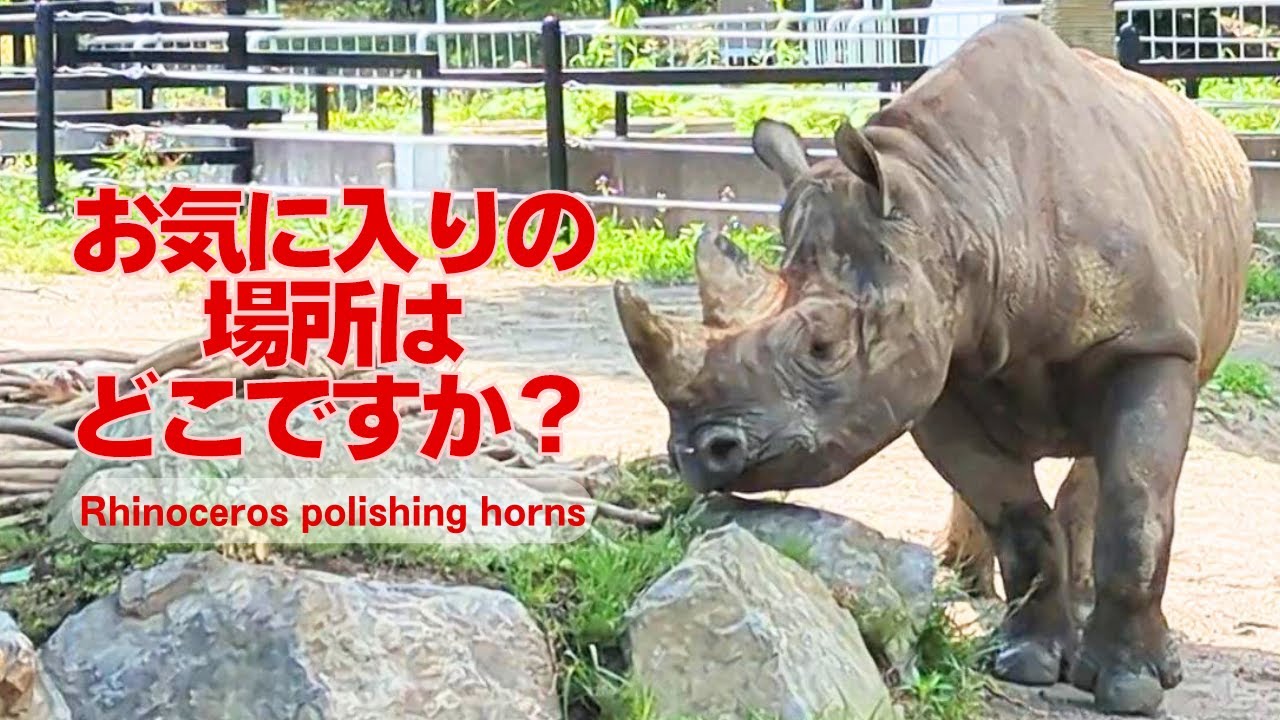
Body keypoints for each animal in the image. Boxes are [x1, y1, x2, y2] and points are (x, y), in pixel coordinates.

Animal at [613, 16, 1255, 717]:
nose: (697, 454)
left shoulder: (1151, 342)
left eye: (823, 347)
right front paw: (1025, 663)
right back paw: (968, 582)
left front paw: (1131, 686)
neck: (954, 206)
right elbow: (1016, 518)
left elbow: (1137, 508)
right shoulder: (934, 372)